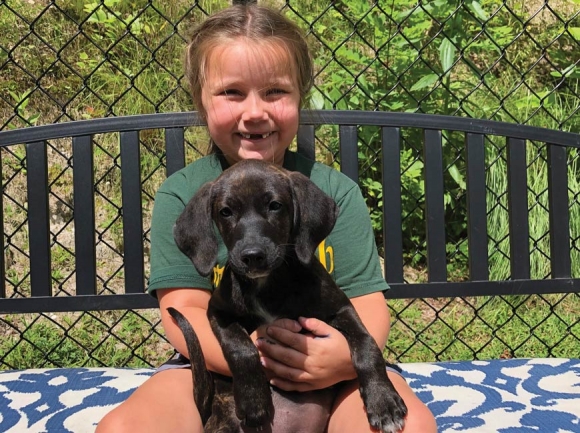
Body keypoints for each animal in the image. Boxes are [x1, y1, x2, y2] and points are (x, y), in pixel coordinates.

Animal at [168, 159, 406, 432]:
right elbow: (241, 348)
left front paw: (383, 400)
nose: (252, 255)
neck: (267, 283)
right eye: (225, 212)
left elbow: (366, 343)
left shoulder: (341, 308)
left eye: (275, 205)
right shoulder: (218, 312)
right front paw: (253, 403)